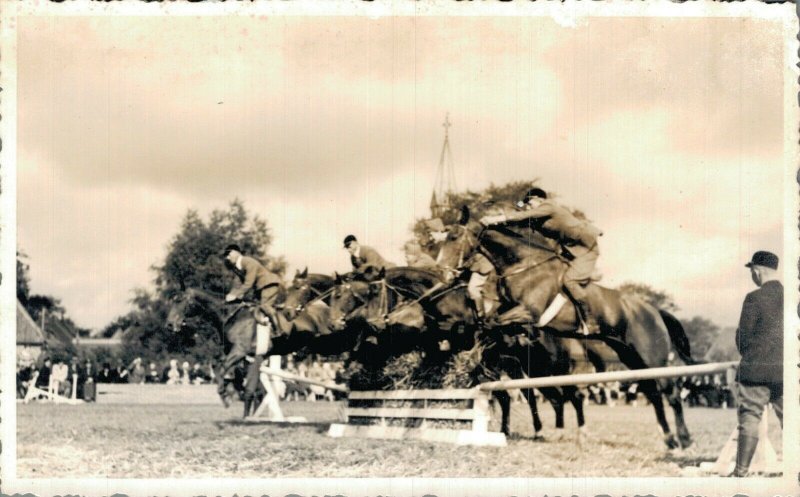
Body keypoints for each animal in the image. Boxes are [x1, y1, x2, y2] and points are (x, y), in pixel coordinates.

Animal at [440, 207, 696, 448]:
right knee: (653, 393)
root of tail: (654, 311)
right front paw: (471, 357)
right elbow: (487, 324)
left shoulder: (528, 312)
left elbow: (492, 324)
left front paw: (472, 357)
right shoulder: (509, 310)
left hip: (651, 358)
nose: (444, 274)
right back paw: (669, 439)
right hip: (632, 359)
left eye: (453, 236)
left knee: (670, 393)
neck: (524, 266)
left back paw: (683, 440)